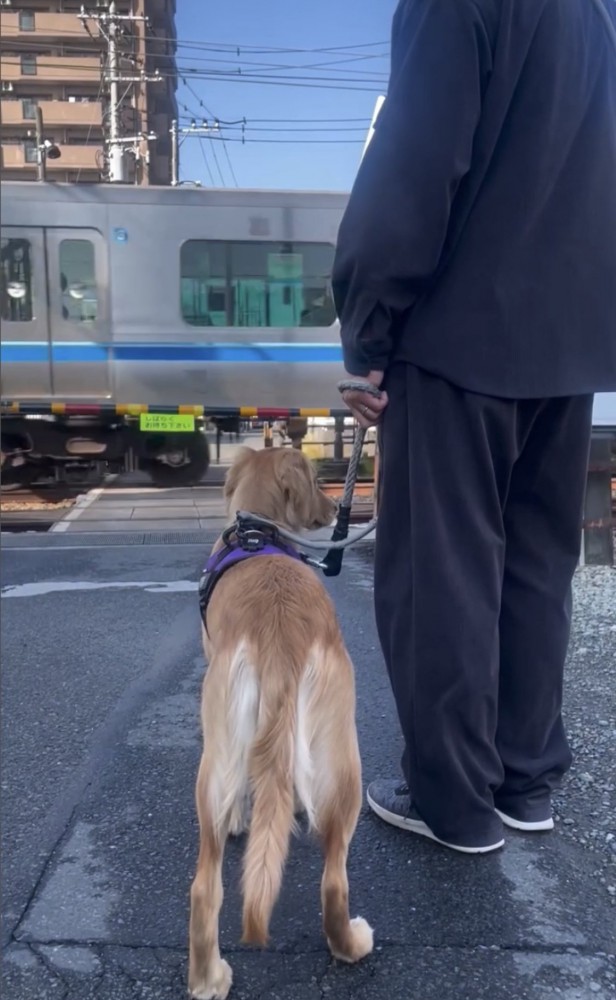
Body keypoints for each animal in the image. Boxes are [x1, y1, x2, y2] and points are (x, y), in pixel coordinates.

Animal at [188, 448, 372, 1000]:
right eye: (314, 480)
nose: (335, 508)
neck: (257, 533)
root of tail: (278, 635)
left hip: (216, 759)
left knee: (205, 887)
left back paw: (208, 980)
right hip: (346, 761)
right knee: (333, 880)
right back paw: (352, 944)